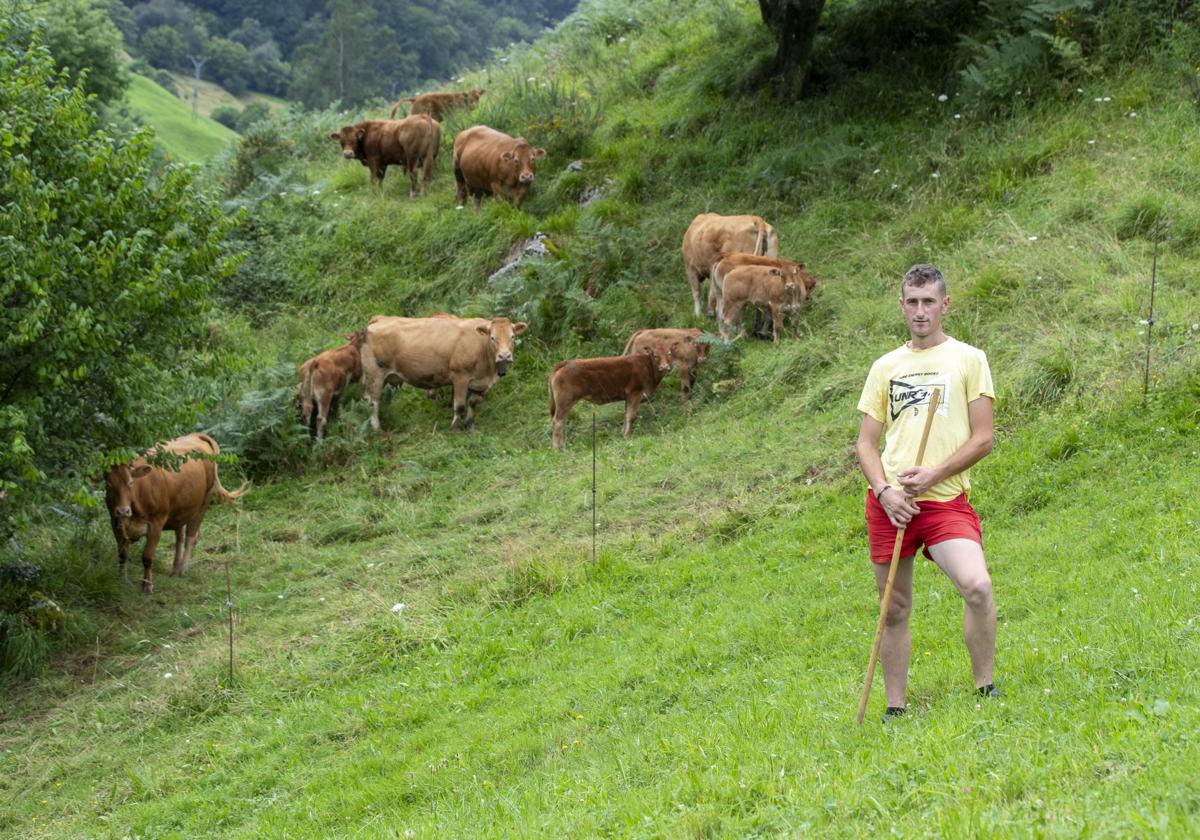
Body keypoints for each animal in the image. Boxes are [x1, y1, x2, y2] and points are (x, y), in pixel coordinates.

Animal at [104, 436, 249, 592]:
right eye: (108, 485)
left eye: (131, 483)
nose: (123, 511)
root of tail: (197, 435)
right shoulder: (115, 523)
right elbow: (122, 555)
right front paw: (122, 580)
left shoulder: (156, 524)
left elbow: (147, 557)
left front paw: (147, 586)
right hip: (181, 510)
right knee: (180, 536)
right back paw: (175, 568)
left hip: (203, 505)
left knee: (191, 537)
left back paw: (183, 569)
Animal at [355, 316, 525, 432]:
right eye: (492, 337)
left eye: (512, 336)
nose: (504, 356)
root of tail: (380, 318)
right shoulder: (460, 376)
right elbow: (460, 406)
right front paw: (455, 428)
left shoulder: (481, 383)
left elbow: (473, 403)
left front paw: (470, 426)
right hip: (374, 373)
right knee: (372, 401)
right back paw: (377, 429)